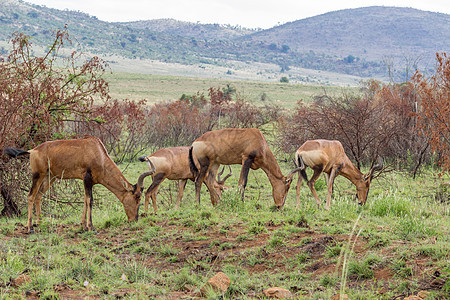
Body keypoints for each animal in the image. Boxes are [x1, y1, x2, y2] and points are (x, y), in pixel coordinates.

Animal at [3, 137, 146, 234]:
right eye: (137, 196)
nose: (134, 220)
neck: (98, 152)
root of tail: (32, 150)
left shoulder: (87, 182)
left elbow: (85, 200)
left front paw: (83, 225)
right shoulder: (87, 179)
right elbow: (90, 200)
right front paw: (91, 227)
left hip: (50, 177)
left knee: (39, 195)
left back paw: (40, 223)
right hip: (38, 175)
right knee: (31, 195)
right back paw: (30, 228)